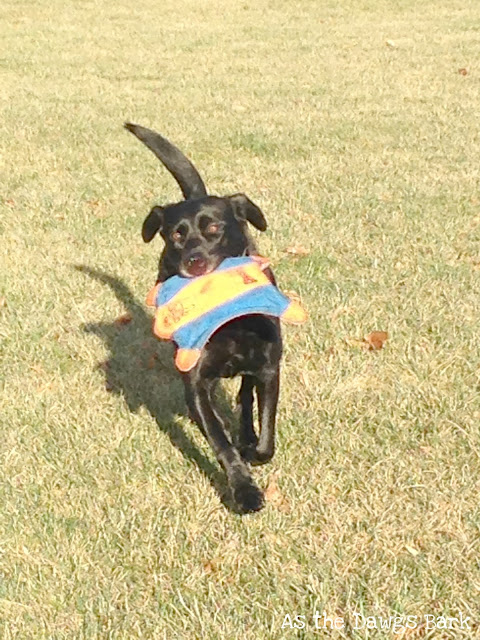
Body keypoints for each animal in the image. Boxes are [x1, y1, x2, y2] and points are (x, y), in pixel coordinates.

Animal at [125, 123, 282, 512]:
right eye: (175, 235)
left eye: (214, 230)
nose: (193, 261)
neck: (225, 320)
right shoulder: (196, 384)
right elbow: (221, 443)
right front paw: (244, 490)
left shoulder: (269, 368)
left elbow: (266, 437)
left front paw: (252, 449)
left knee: (245, 396)